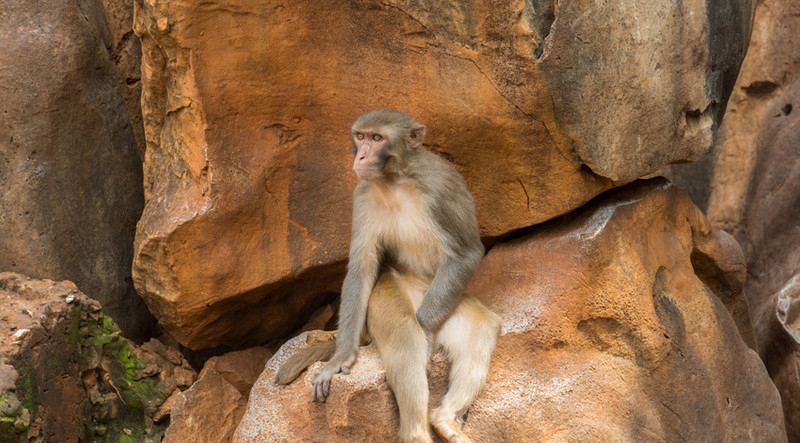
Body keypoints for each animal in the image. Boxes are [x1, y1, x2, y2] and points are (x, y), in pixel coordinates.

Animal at [276, 110, 500, 443]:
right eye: (361, 136)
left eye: (377, 138)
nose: (362, 155)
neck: (395, 180)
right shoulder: (363, 195)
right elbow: (362, 268)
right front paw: (343, 356)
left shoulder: (441, 186)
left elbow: (467, 253)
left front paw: (427, 334)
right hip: (386, 293)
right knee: (404, 330)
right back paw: (418, 431)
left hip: (441, 297)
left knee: (480, 327)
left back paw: (444, 418)